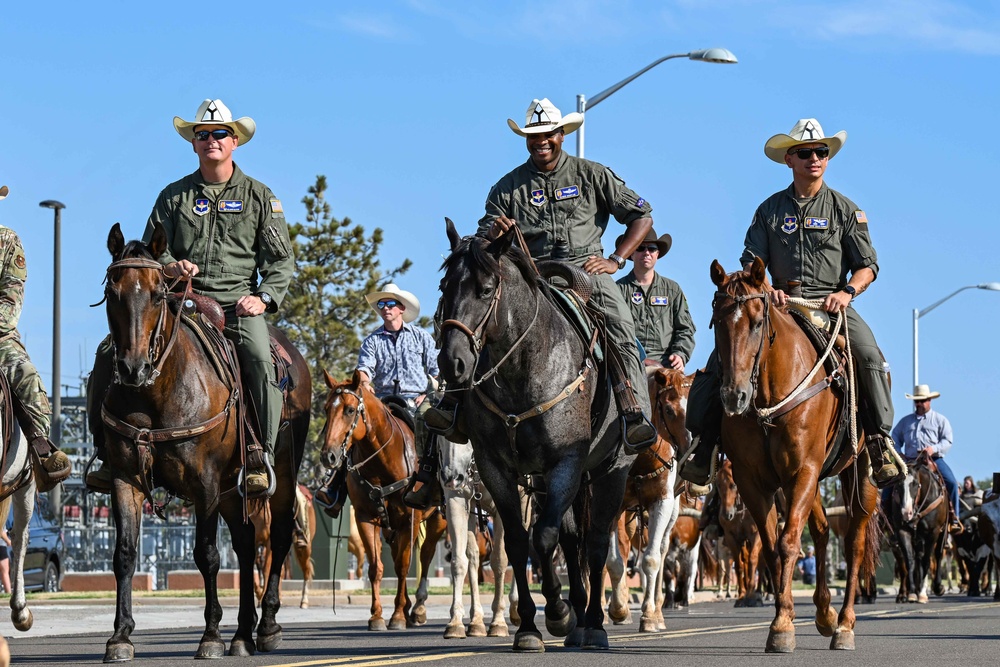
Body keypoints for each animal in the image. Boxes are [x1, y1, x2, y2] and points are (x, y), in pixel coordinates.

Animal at [100, 226, 312, 664]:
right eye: (112, 291)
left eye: (158, 293)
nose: (132, 368)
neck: (156, 392)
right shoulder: (124, 479)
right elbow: (125, 553)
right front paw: (120, 637)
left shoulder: (206, 484)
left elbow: (208, 555)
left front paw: (210, 635)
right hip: (234, 491)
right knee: (247, 545)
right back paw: (243, 633)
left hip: (281, 472)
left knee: (278, 537)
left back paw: (266, 626)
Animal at [320, 370, 446, 632]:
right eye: (326, 408)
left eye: (350, 409)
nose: (329, 456)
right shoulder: (365, 518)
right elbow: (376, 568)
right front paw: (377, 616)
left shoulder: (409, 520)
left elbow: (402, 566)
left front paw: (397, 615)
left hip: (438, 520)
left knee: (426, 554)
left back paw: (417, 609)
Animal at [442, 440, 524, 640]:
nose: (451, 477)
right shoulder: (457, 500)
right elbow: (461, 562)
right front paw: (458, 622)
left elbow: (500, 561)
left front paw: (498, 621)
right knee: (473, 558)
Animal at [712, 260, 884, 652]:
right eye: (716, 321)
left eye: (757, 322)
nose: (733, 396)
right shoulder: (755, 482)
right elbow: (772, 549)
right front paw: (784, 617)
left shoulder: (803, 471)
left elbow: (789, 542)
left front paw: (782, 626)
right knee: (821, 531)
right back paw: (824, 613)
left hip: (860, 478)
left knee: (853, 545)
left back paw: (845, 624)